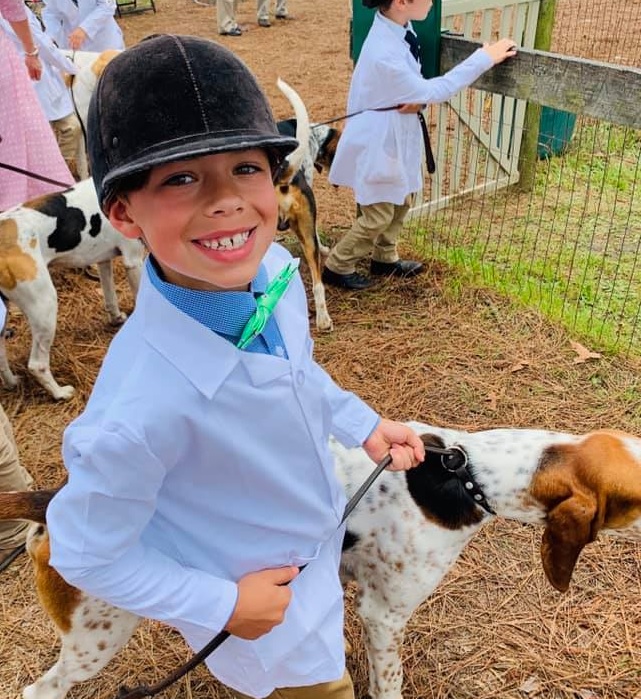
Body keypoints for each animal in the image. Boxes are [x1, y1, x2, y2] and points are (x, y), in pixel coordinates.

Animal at [0, 178, 144, 402]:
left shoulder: (104, 260)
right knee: (37, 364)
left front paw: (117, 318)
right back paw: (59, 393)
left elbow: (110, 297)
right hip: (45, 306)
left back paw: (11, 382)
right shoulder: (133, 260)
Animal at [3, 424, 640, 699]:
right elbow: (389, 684)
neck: (467, 472)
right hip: (97, 637)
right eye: (637, 498)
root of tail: (54, 499)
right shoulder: (384, 616)